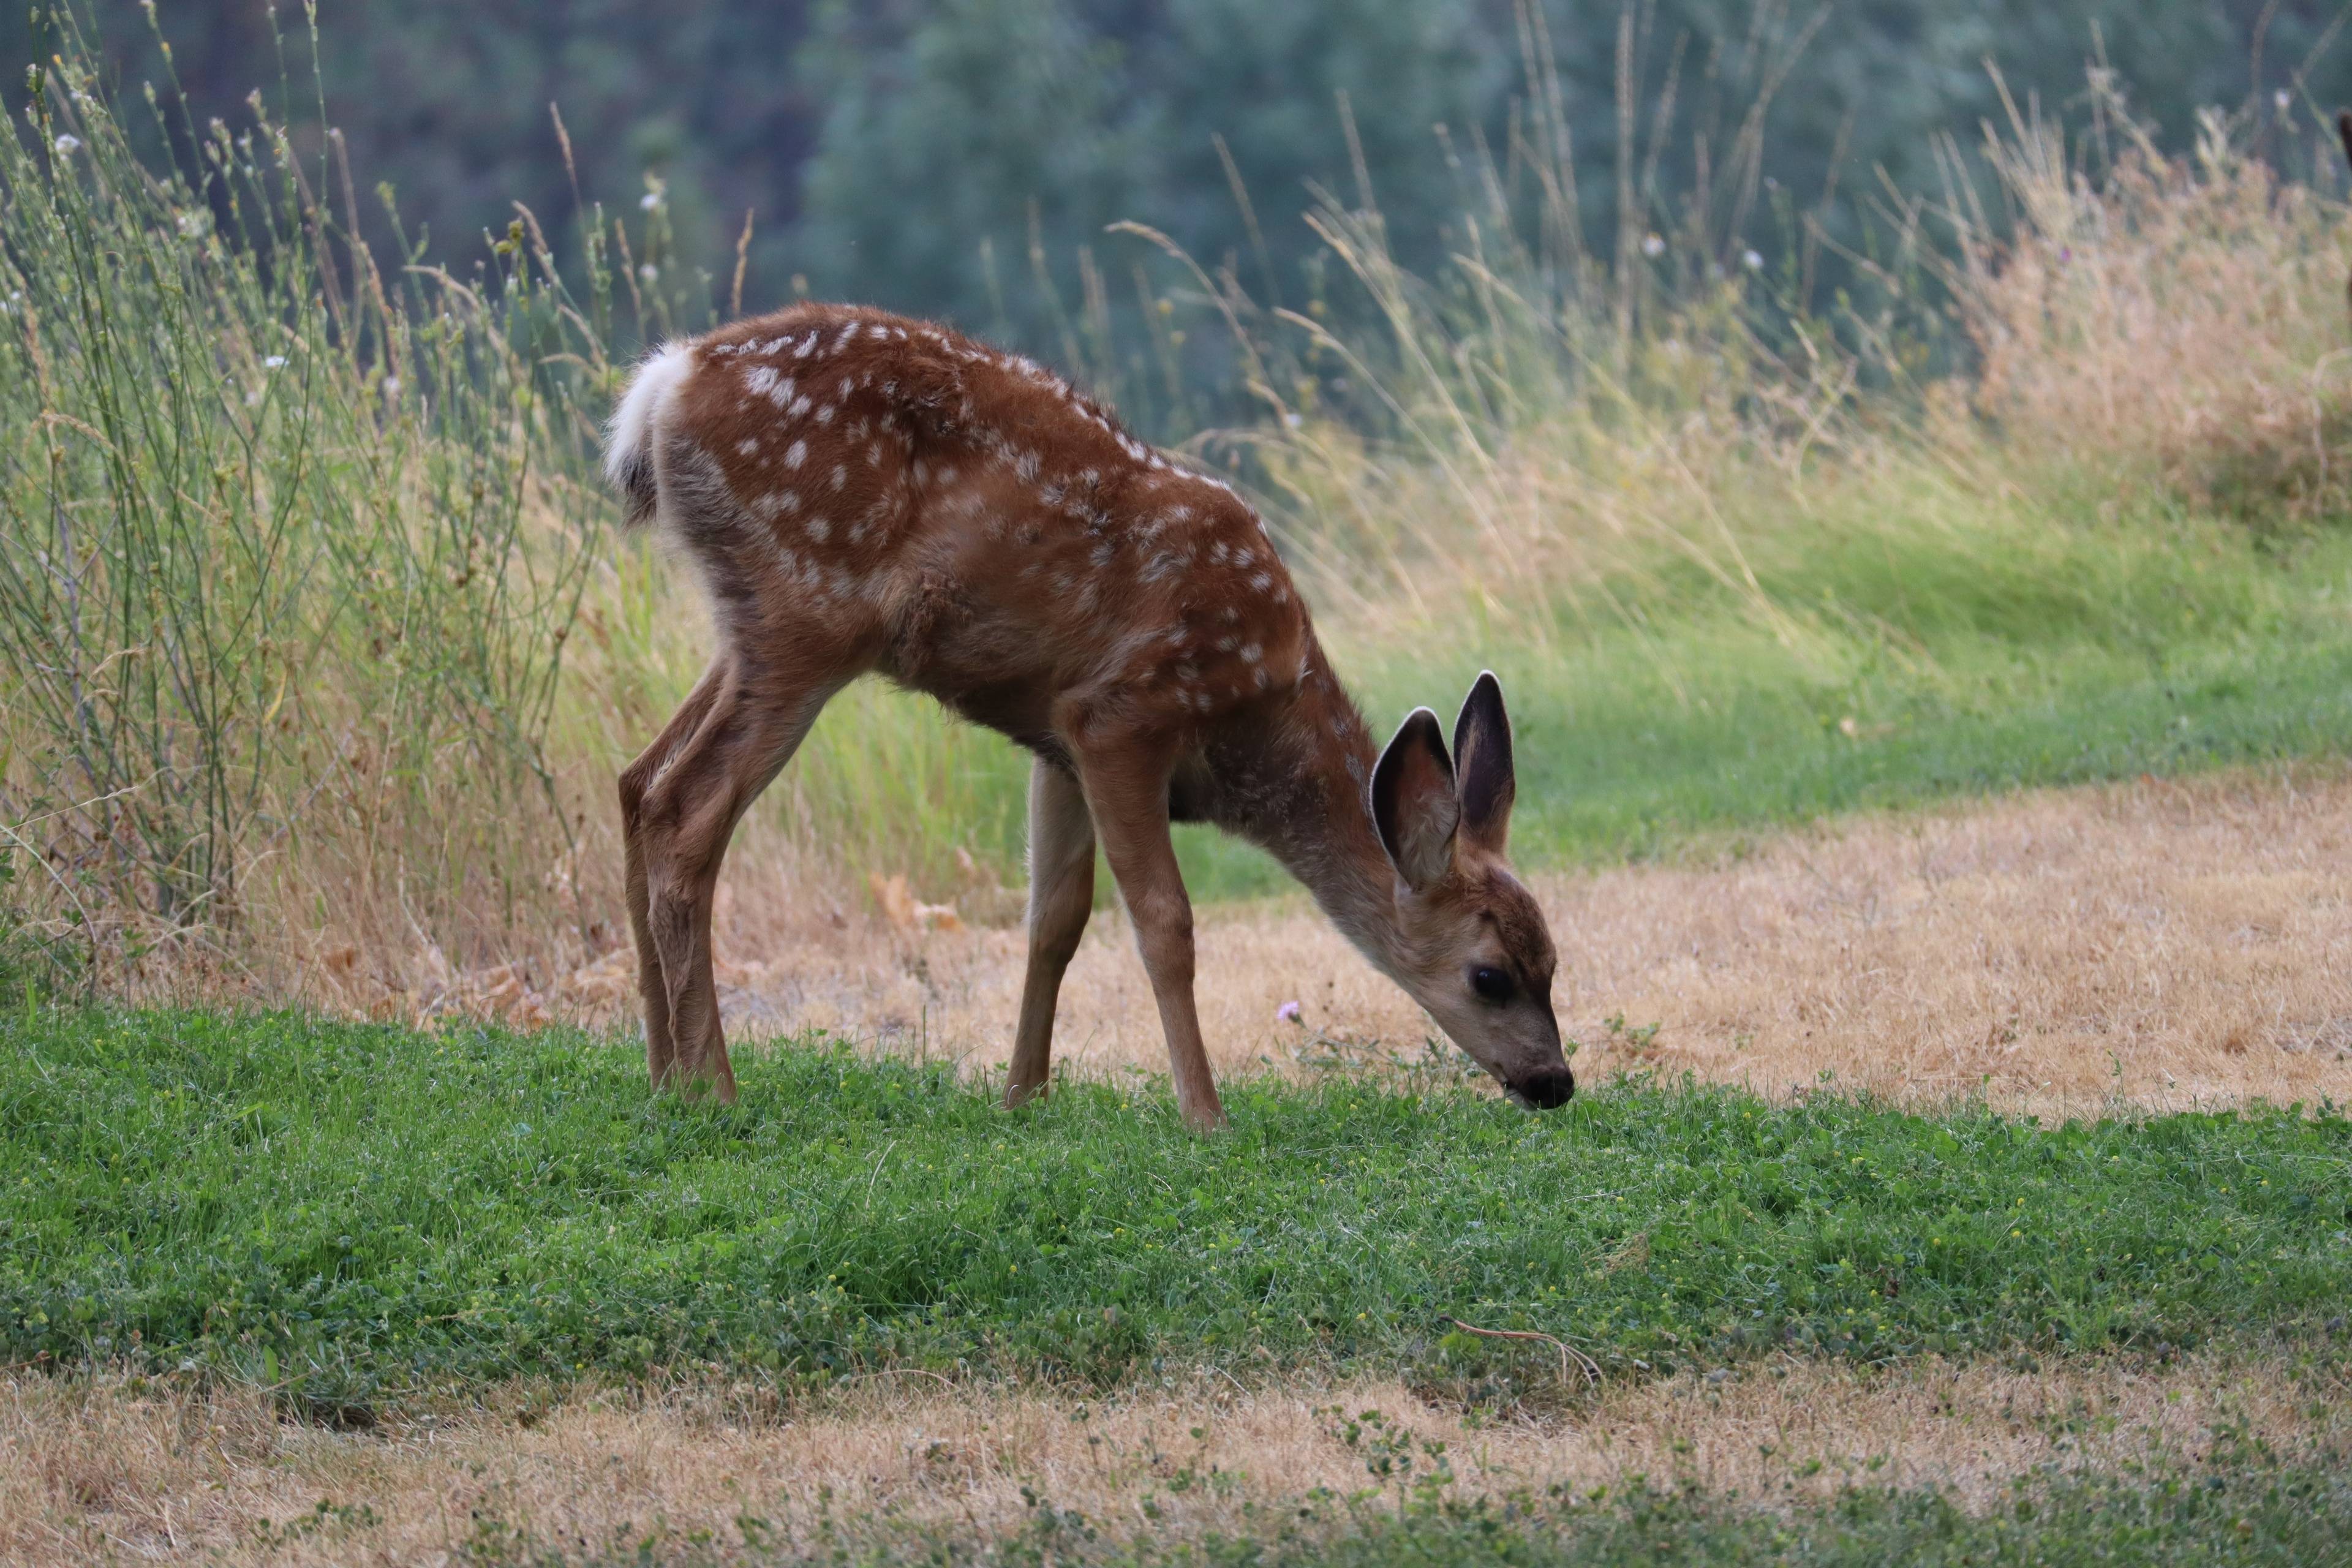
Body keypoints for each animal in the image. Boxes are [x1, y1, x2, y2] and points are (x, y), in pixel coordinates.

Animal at [606, 301, 1571, 1128]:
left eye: (1554, 960)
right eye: (1489, 976)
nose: (1556, 1081)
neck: (1255, 718)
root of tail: (664, 384)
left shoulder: (1055, 738)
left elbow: (1056, 920)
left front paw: (1022, 1097)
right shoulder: (1122, 714)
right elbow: (1164, 922)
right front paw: (1205, 1115)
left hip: (750, 628)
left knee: (636, 779)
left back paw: (658, 1076)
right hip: (807, 610)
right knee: (687, 807)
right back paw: (714, 1088)